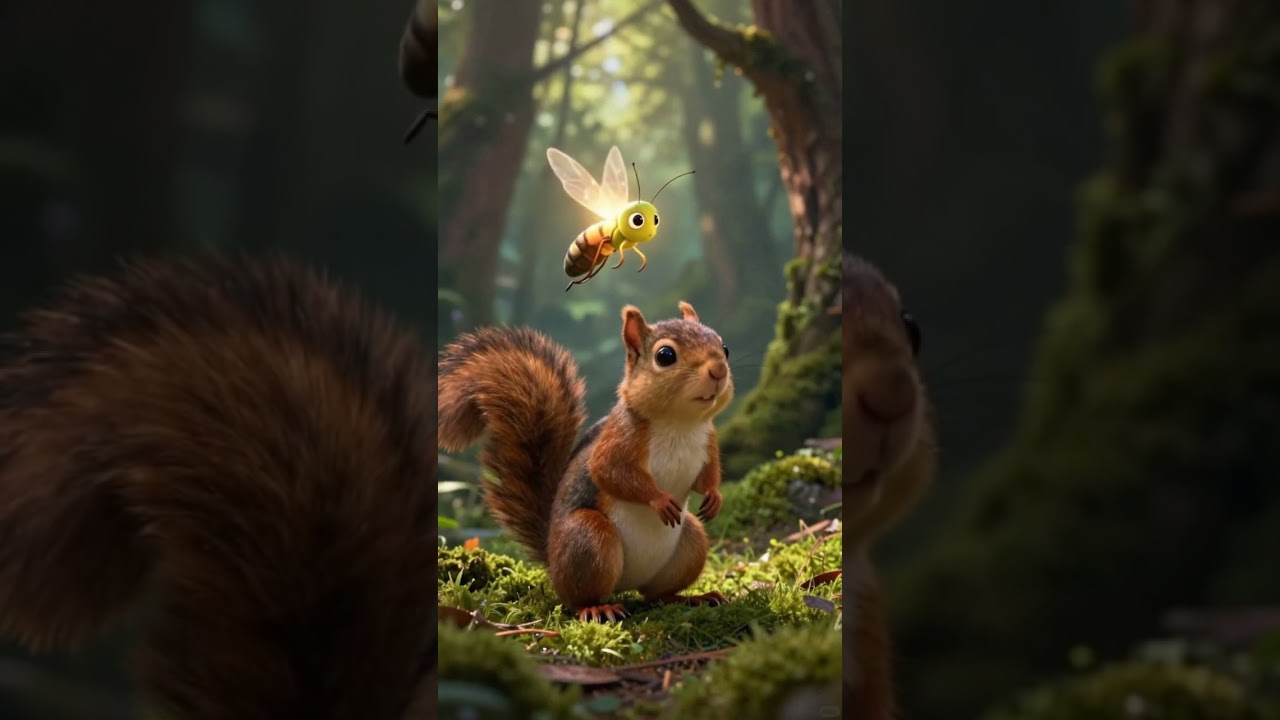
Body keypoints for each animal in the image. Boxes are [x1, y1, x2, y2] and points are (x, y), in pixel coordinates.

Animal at [438, 301, 734, 621]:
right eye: (665, 356)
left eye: (724, 347)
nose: (718, 370)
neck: (680, 424)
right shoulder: (619, 441)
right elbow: (611, 474)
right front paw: (659, 500)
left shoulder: (709, 441)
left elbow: (707, 477)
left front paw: (715, 497)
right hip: (589, 538)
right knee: (577, 598)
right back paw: (597, 607)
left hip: (691, 540)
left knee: (656, 594)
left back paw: (693, 598)